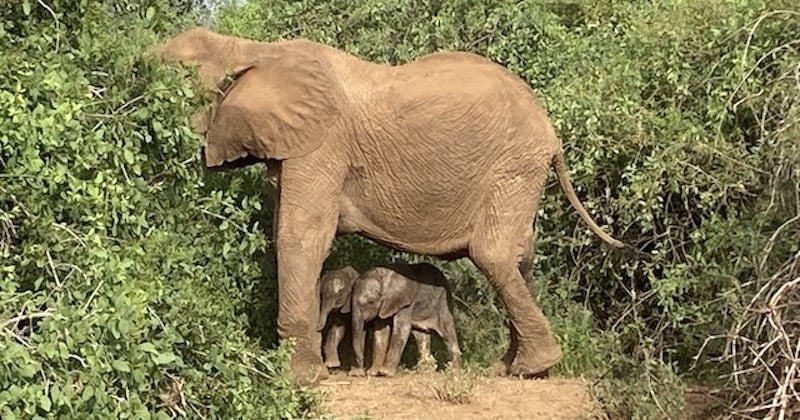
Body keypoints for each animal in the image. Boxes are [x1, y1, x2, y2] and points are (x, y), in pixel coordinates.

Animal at [148, 26, 624, 388]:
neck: (250, 49)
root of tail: (551, 132)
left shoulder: (323, 145)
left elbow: (301, 236)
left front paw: (300, 380)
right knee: (520, 257)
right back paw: (513, 367)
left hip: (514, 167)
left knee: (494, 254)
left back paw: (528, 368)